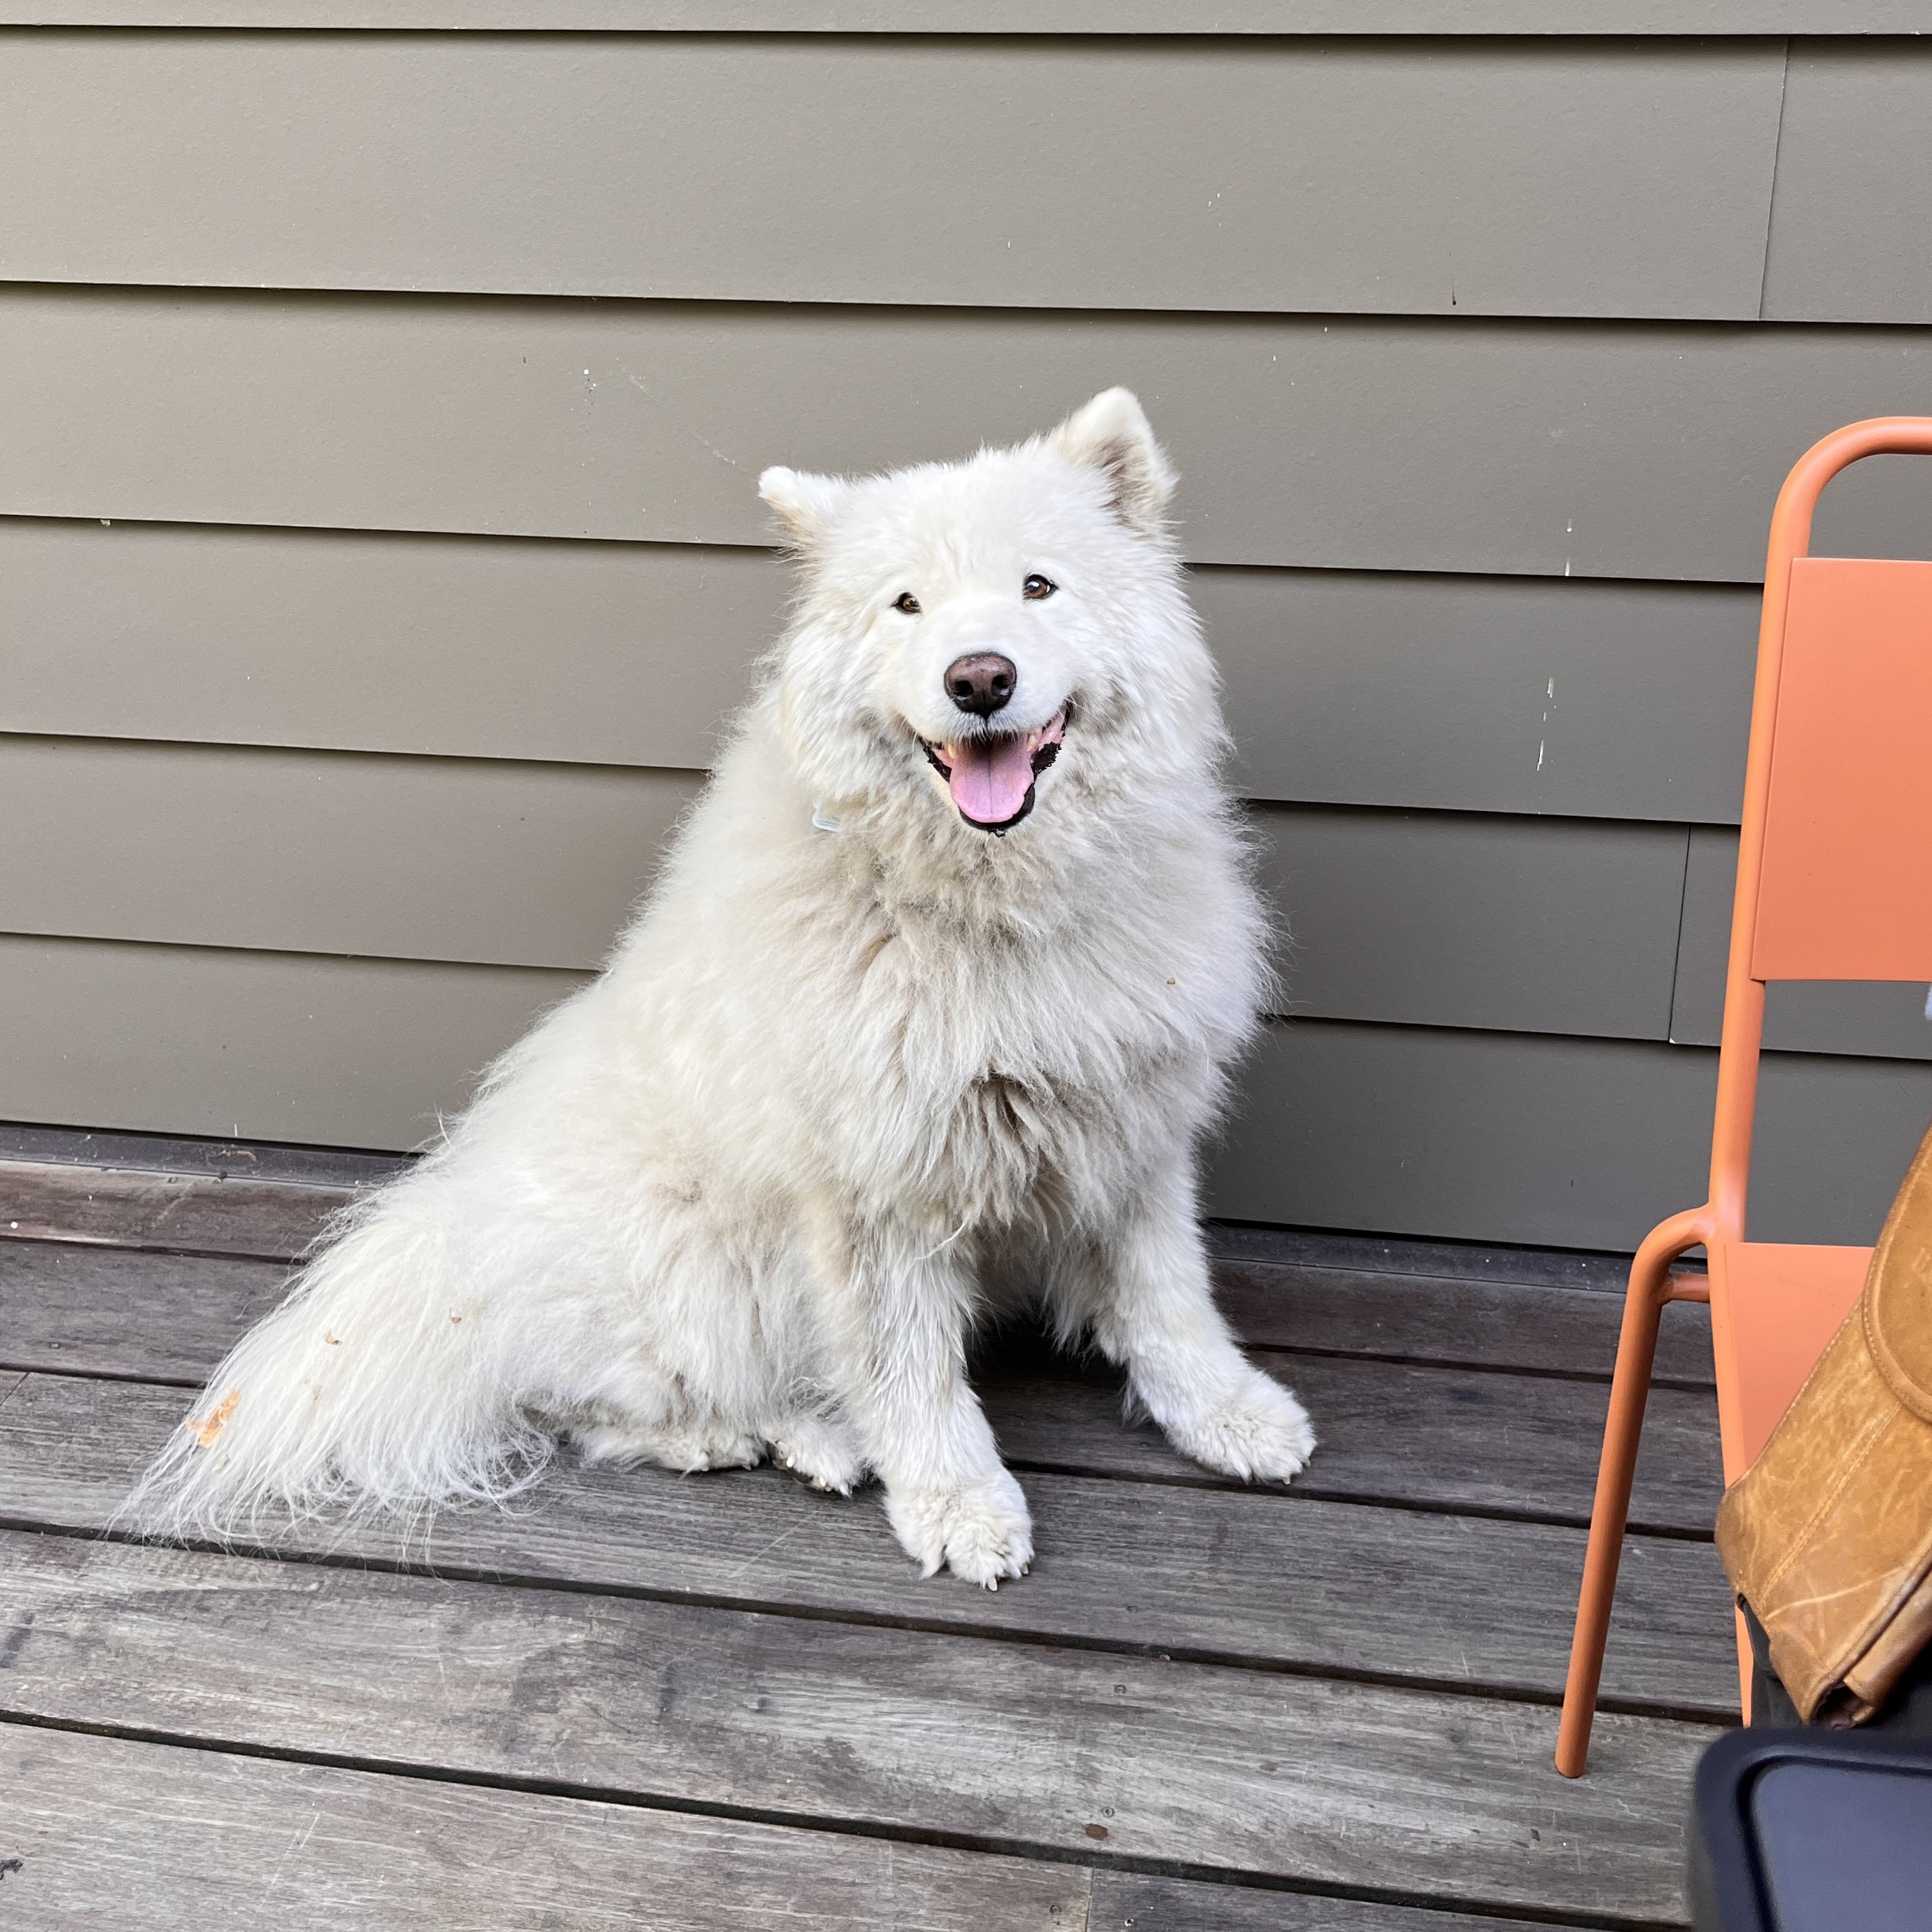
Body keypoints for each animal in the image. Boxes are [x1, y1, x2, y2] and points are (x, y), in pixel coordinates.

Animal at [136, 388, 1313, 1584]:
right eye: (905, 604)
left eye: (1039, 585)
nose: (977, 678)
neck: (992, 908)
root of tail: (457, 1245)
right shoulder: (874, 1192)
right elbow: (911, 1372)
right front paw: (957, 1505)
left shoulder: (1131, 1125)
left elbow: (1168, 1300)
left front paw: (1228, 1414)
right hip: (705, 1267)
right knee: (604, 1401)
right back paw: (787, 1437)